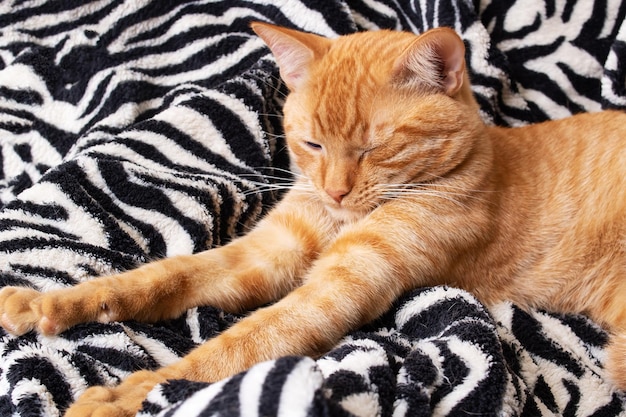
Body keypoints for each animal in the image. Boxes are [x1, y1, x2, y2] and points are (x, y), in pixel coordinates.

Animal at [1, 22, 624, 412]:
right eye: (313, 144)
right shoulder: (263, 254)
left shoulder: (338, 286)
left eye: (374, 147)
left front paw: (131, 396)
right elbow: (162, 276)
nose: (337, 191)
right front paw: (50, 302)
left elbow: (241, 345)